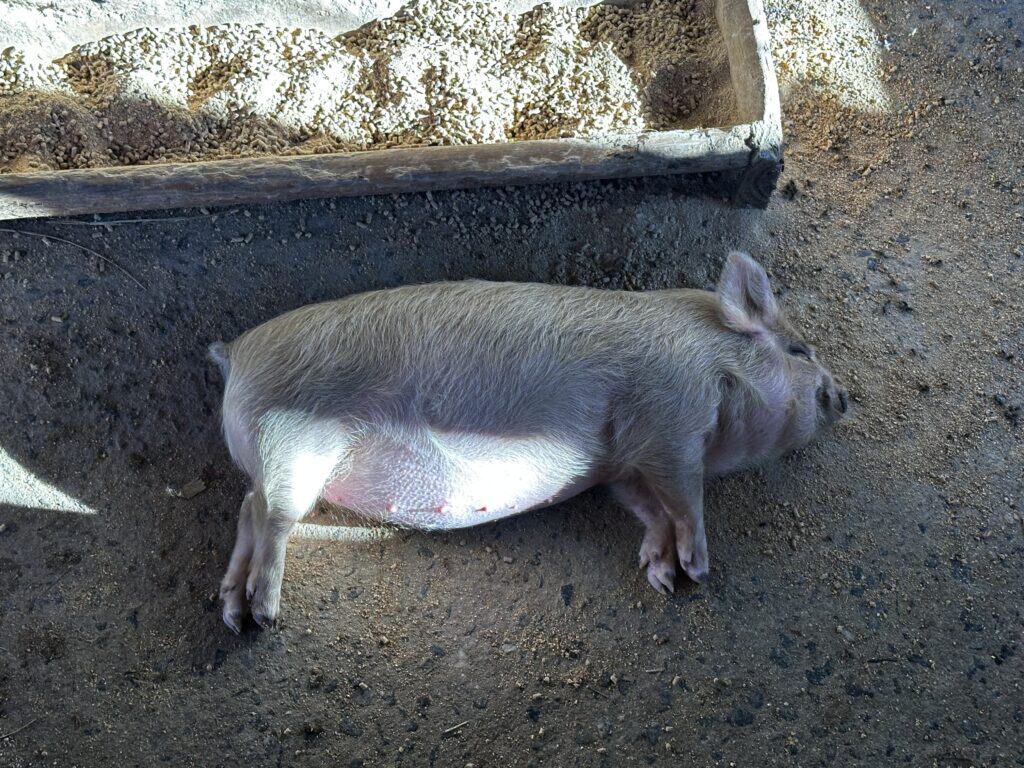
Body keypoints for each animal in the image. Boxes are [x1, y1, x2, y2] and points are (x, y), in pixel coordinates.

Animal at [208, 251, 848, 632]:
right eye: (799, 351)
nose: (843, 397)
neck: (715, 367)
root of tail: (236, 352)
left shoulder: (624, 464)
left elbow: (648, 508)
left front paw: (662, 576)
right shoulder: (671, 422)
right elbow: (685, 496)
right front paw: (699, 569)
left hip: (275, 455)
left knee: (247, 507)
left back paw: (233, 611)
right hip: (293, 441)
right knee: (273, 515)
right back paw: (266, 614)